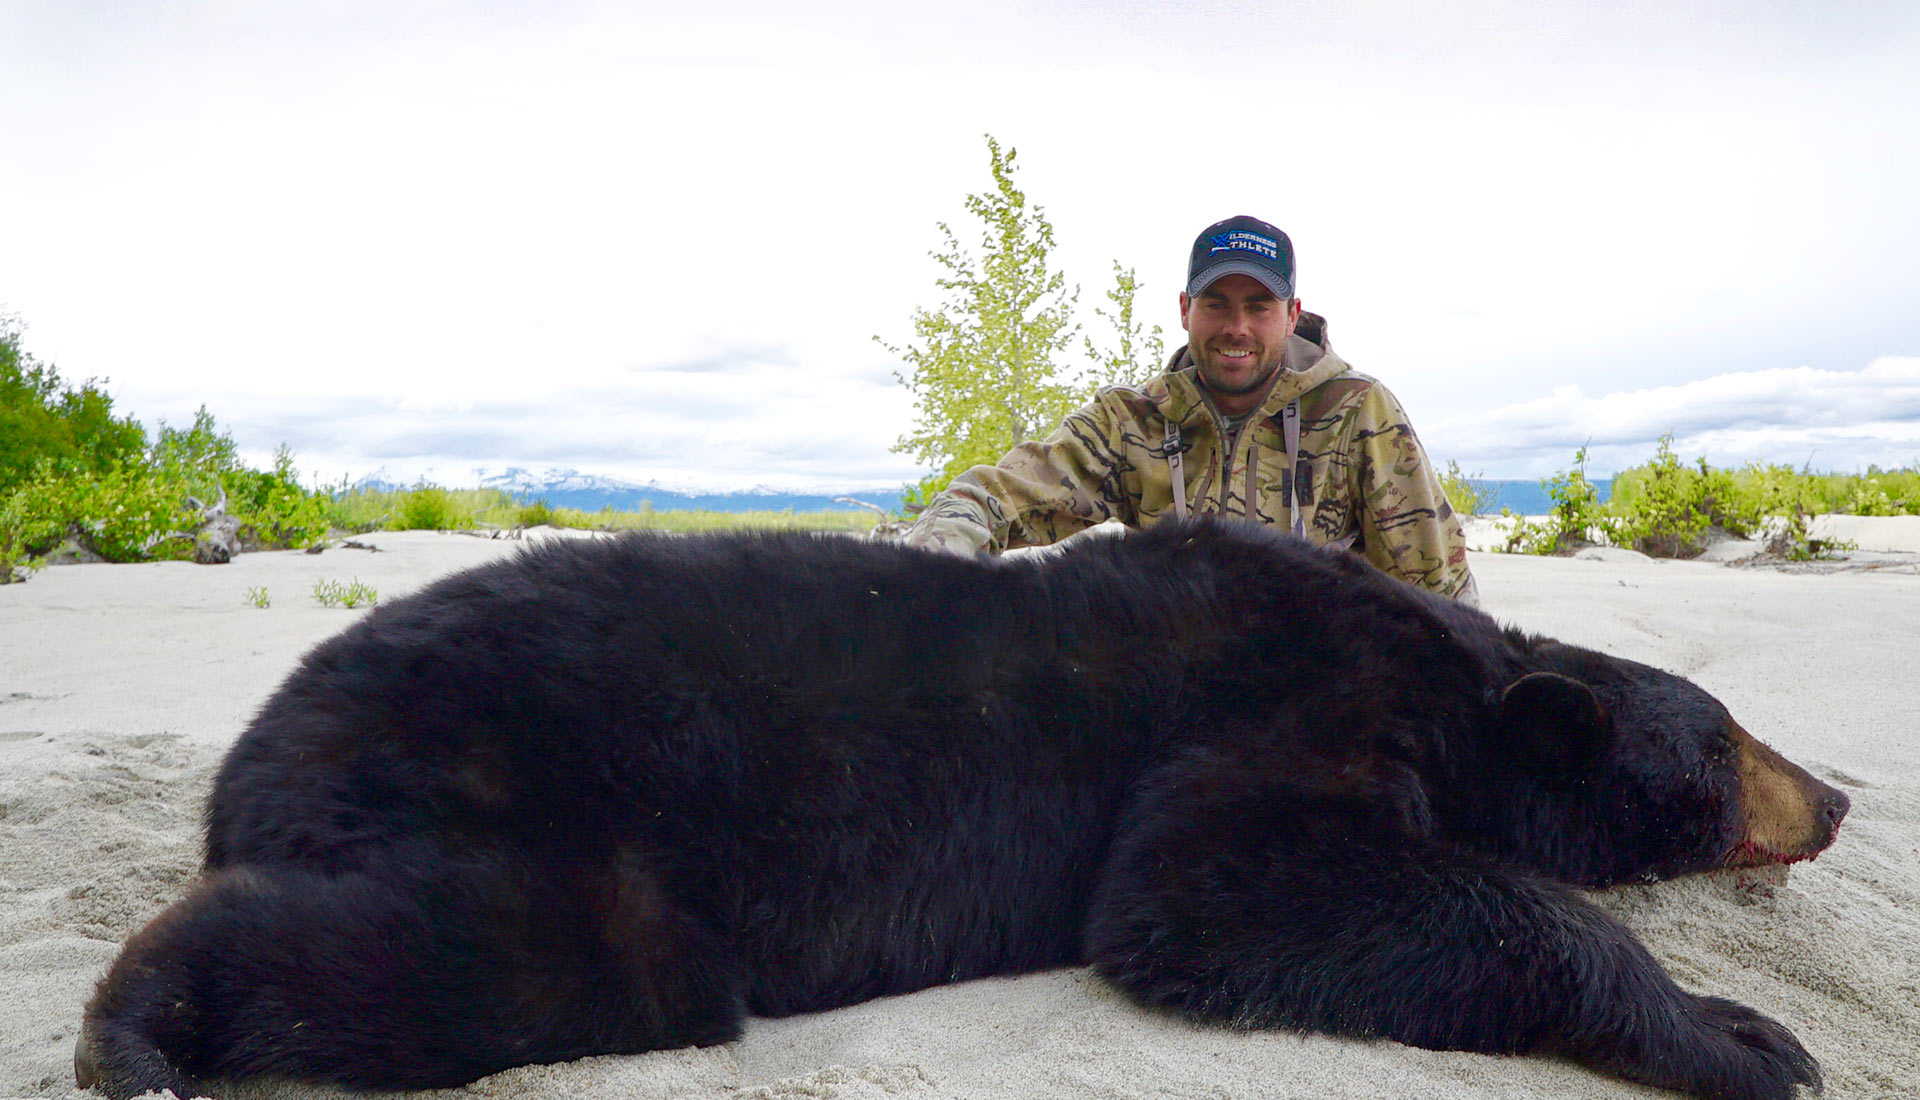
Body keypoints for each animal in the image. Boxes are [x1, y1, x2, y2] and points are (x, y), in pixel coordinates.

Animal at [76, 518, 1847, 1100]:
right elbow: (1210, 884)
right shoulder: (1282, 691)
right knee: (542, 951)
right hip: (515, 773)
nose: (1833, 792)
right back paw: (138, 1025)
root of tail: (252, 752)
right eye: (1726, 743)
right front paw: (1741, 1033)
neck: (1457, 686)